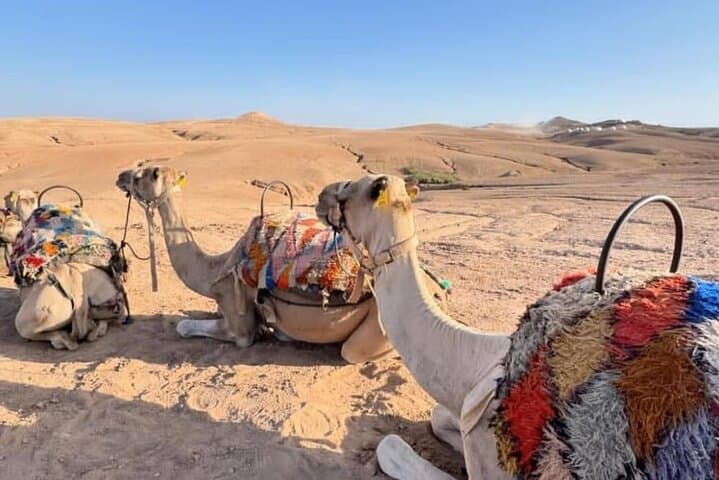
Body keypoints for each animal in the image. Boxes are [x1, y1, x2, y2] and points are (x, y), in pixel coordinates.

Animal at [114, 166, 448, 363]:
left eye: (146, 173)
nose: (121, 175)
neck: (217, 267)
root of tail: (436, 291)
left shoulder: (239, 323)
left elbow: (185, 326)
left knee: (354, 352)